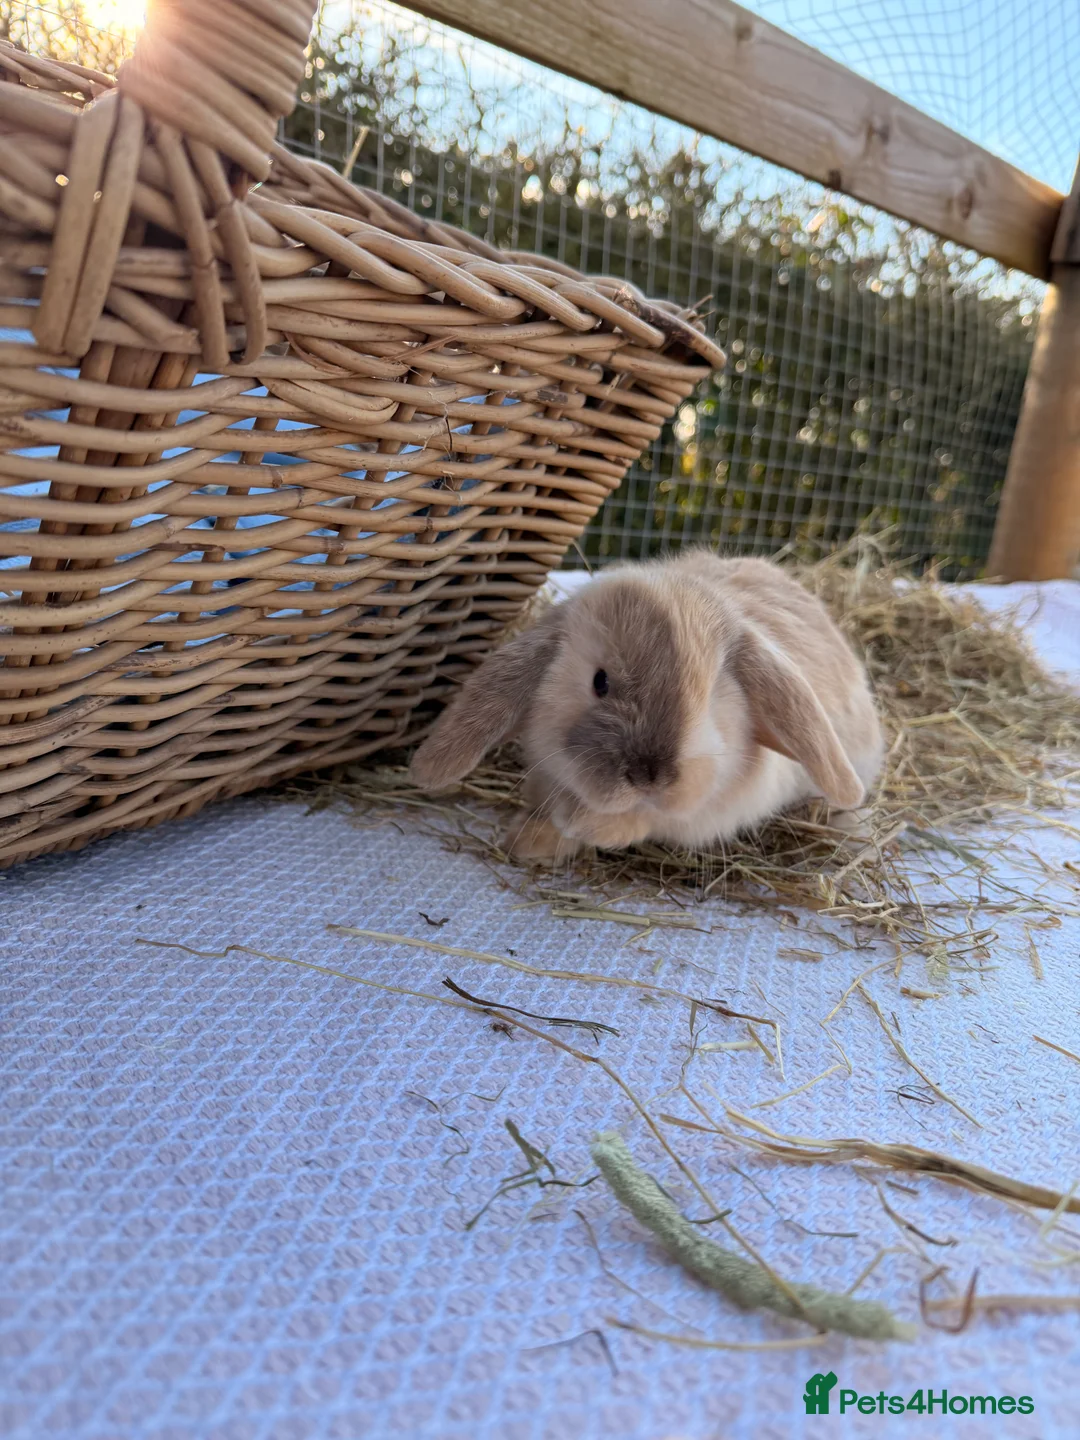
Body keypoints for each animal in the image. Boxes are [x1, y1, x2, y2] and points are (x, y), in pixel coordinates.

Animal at [409, 551, 884, 860]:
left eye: (711, 696)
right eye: (600, 682)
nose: (649, 777)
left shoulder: (705, 811)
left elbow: (643, 823)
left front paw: (580, 823)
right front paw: (530, 844)